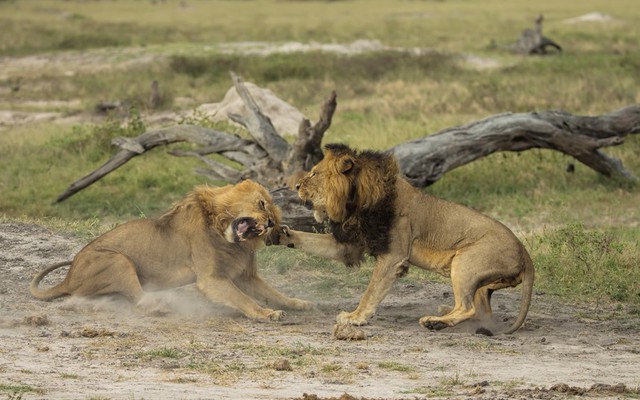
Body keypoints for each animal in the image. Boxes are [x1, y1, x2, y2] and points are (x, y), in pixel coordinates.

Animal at [31, 181, 312, 322]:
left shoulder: (245, 275)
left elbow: (273, 293)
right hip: (118, 259)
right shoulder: (211, 279)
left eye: (274, 219)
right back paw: (160, 306)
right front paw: (266, 313)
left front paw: (296, 303)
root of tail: (68, 278)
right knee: (139, 298)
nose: (269, 222)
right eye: (262, 203)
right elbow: (243, 299)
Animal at [276, 144, 536, 334]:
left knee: (468, 307)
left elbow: (371, 290)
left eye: (314, 173)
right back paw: (443, 315)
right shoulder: (351, 245)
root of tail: (525, 254)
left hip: (465, 263)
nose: (296, 186)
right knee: (482, 312)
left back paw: (434, 322)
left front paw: (355, 317)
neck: (356, 202)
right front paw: (282, 234)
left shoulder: (393, 255)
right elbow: (311, 240)